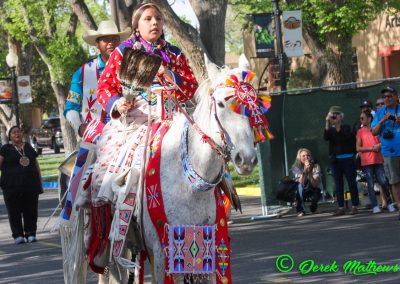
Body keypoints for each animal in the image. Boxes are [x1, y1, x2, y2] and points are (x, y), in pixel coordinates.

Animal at [141, 63, 258, 282]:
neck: (190, 186)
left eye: (255, 104)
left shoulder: (208, 244)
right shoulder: (162, 251)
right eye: (220, 104)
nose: (247, 159)